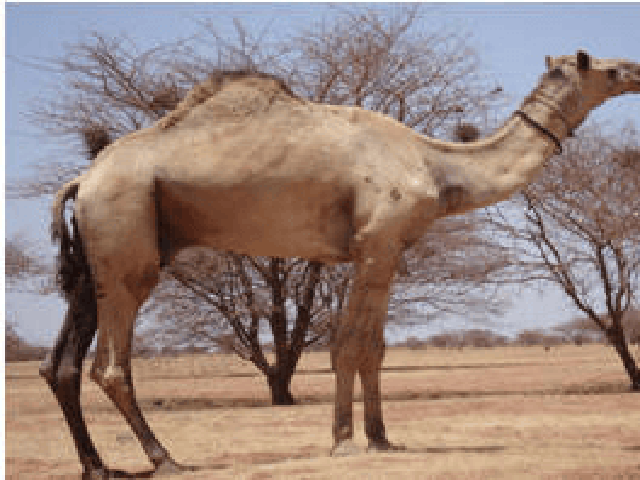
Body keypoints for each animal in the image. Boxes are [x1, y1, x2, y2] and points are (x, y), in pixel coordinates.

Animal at [41, 51, 639, 478]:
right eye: (605, 68)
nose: (635, 71)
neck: (435, 164)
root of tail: (82, 179)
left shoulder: (385, 251)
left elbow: (372, 348)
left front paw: (380, 438)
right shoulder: (376, 243)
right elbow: (350, 346)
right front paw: (345, 443)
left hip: (97, 254)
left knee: (60, 363)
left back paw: (98, 466)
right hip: (125, 232)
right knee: (109, 362)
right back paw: (164, 458)